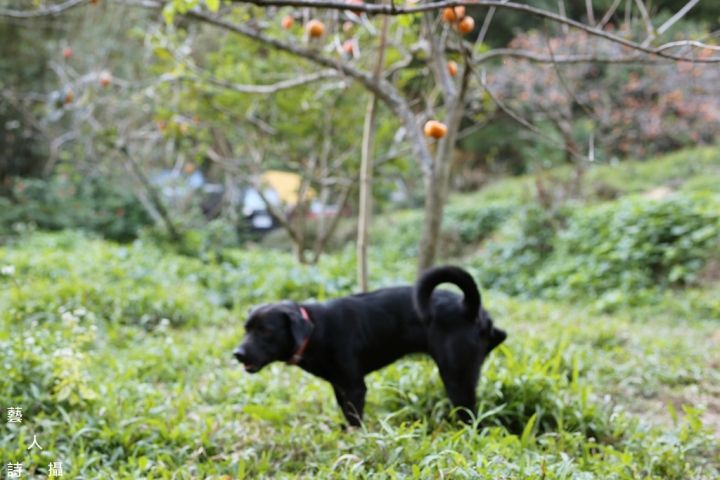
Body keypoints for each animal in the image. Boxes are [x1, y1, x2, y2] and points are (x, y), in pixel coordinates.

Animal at [232, 266, 506, 428]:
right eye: (245, 329)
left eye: (265, 331)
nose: (237, 354)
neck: (314, 330)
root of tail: (468, 307)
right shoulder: (339, 387)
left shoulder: (355, 388)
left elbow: (355, 421)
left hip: (456, 380)